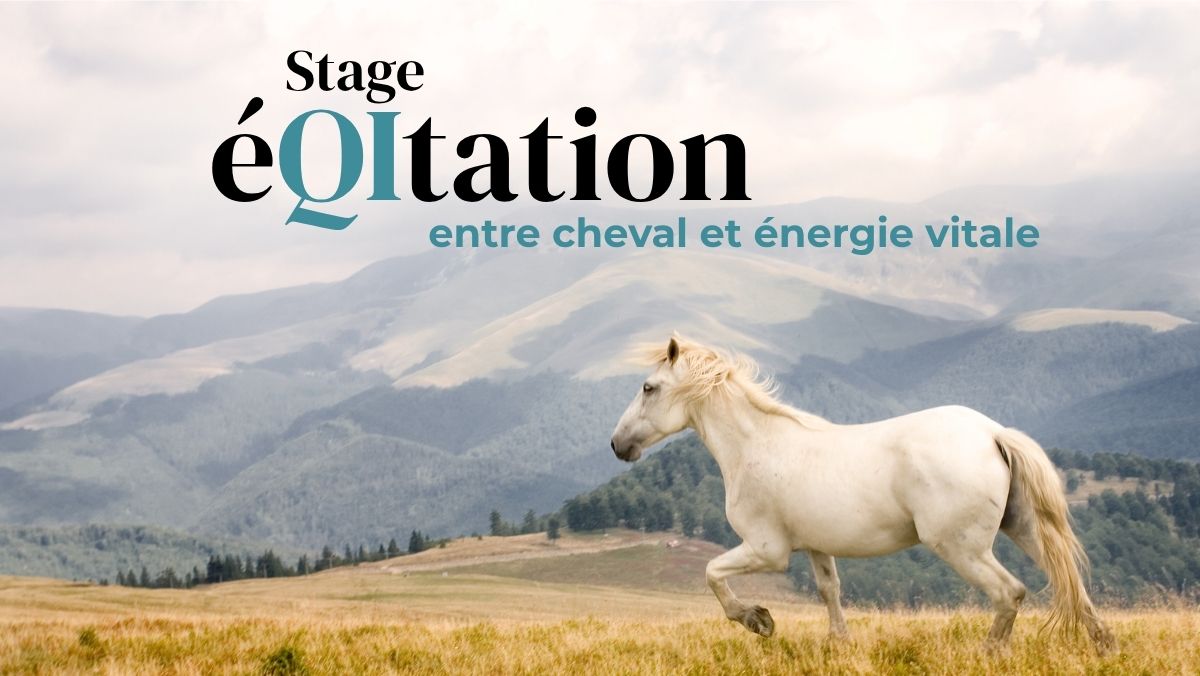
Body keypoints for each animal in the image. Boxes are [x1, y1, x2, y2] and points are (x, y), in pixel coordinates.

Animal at [609, 335, 1115, 653]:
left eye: (649, 387)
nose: (618, 445)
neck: (756, 446)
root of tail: (992, 433)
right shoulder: (816, 546)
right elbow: (829, 590)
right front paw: (839, 643)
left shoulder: (766, 550)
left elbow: (713, 573)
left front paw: (760, 621)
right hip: (1023, 529)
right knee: (1070, 583)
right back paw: (1103, 645)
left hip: (960, 547)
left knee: (1010, 593)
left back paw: (989, 653)